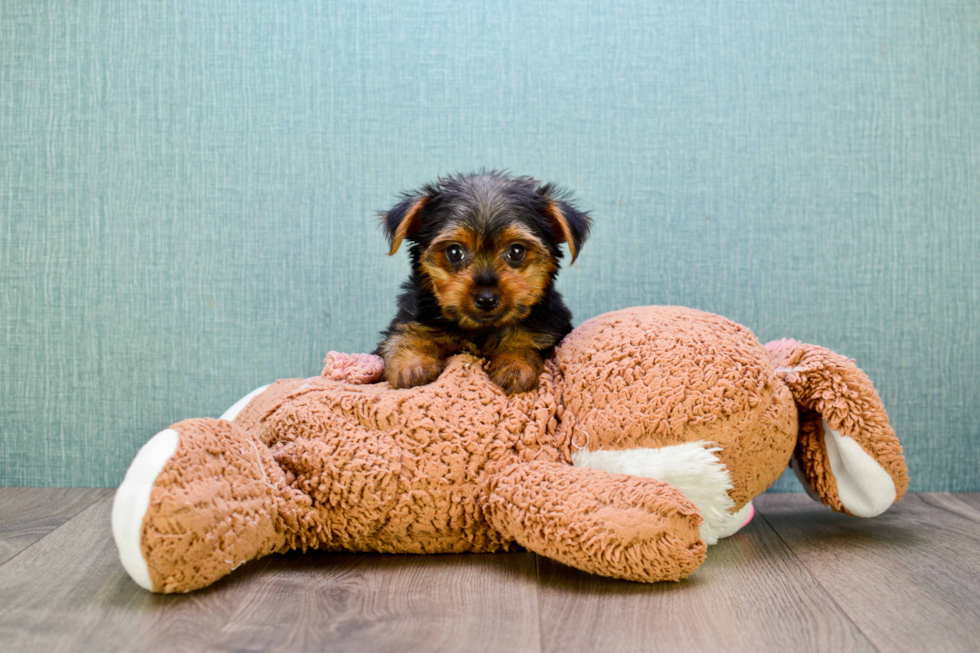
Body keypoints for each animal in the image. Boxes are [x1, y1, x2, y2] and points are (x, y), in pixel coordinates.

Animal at [374, 171, 588, 392]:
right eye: (454, 252)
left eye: (516, 251)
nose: (486, 299)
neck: (479, 330)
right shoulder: (414, 317)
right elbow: (406, 335)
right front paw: (412, 364)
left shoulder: (547, 325)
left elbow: (525, 338)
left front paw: (515, 364)